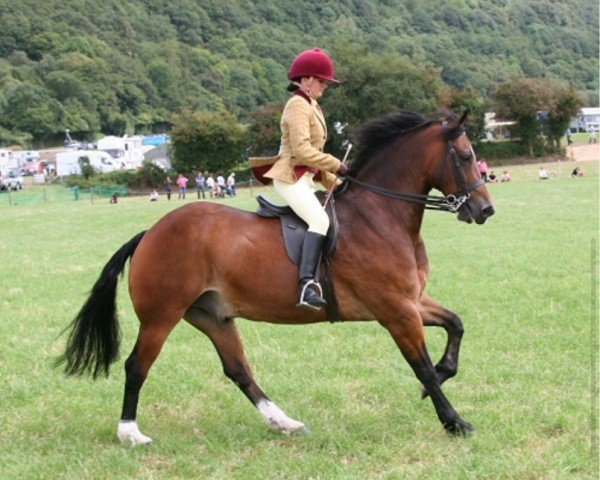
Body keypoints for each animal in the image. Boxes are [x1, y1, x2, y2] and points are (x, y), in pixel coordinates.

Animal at [58, 109, 494, 446]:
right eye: (465, 155)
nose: (484, 210)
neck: (380, 215)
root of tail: (151, 232)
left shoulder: (412, 301)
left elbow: (455, 325)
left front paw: (441, 377)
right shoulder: (396, 311)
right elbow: (421, 365)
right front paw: (454, 421)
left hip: (213, 316)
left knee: (238, 370)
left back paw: (284, 422)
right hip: (161, 315)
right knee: (137, 366)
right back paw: (130, 433)